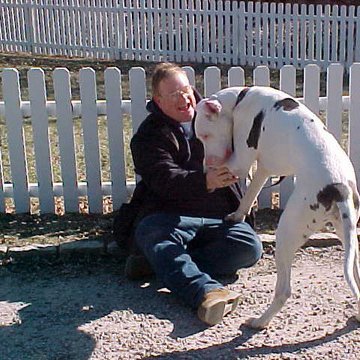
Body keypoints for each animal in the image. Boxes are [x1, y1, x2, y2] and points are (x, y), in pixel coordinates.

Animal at [194, 86, 360, 330]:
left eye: (204, 136)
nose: (208, 165)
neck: (239, 100)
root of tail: (339, 189)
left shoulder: (240, 161)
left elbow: (232, 170)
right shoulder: (263, 169)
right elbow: (249, 194)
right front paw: (237, 215)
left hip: (286, 234)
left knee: (284, 291)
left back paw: (260, 321)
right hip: (348, 234)